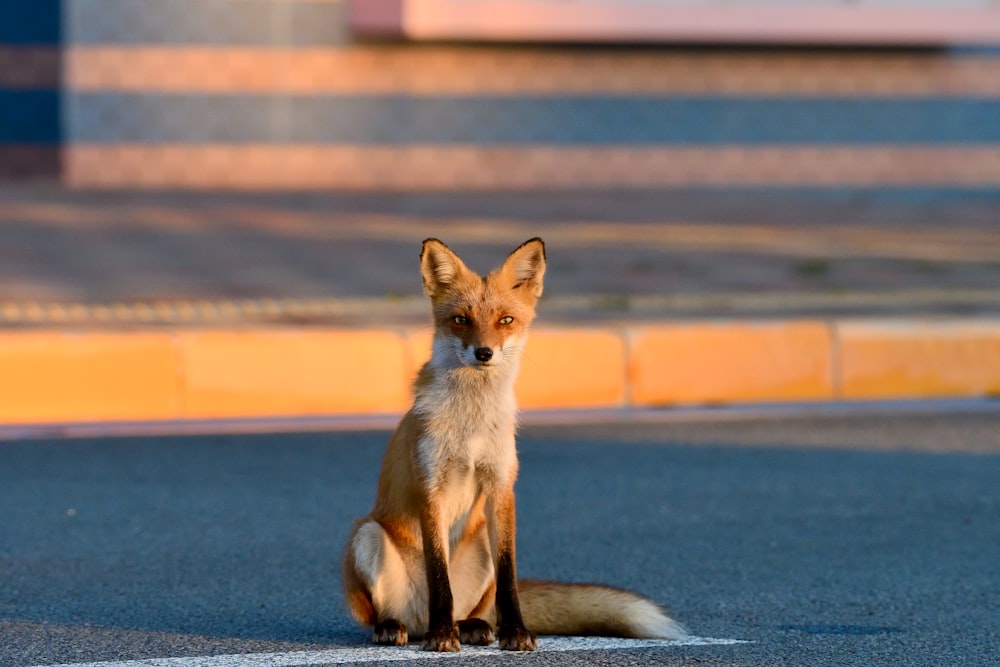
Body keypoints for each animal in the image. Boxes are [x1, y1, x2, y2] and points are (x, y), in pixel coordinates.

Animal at [344, 239, 688, 652]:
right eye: (461, 320)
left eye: (505, 320)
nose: (484, 353)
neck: (471, 426)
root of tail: (418, 620)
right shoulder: (432, 487)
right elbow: (439, 577)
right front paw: (443, 638)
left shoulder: (501, 487)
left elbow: (509, 578)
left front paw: (516, 632)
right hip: (367, 536)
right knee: (396, 613)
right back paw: (404, 626)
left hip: (479, 545)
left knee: (476, 607)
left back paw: (472, 625)